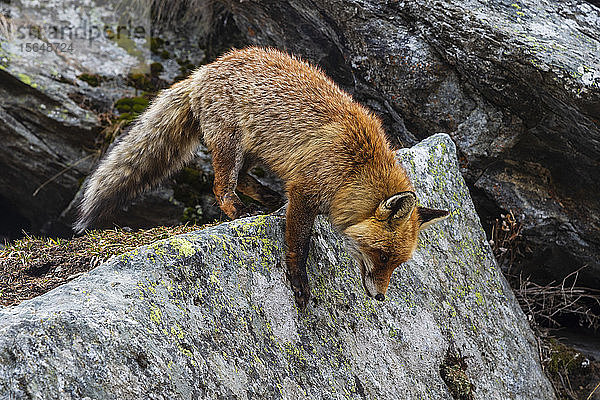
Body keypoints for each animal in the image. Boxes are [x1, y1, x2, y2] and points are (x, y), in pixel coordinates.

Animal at [75, 47, 448, 310]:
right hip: (231, 143)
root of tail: (204, 69)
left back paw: (267, 200)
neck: (353, 169)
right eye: (382, 257)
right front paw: (298, 282)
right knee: (221, 185)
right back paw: (239, 212)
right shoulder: (305, 191)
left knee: (241, 179)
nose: (380, 297)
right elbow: (298, 245)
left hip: (258, 149)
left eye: (397, 264)